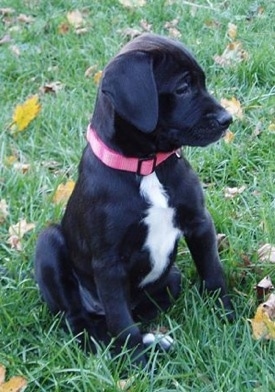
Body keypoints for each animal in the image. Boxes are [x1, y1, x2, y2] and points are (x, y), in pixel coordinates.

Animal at [34, 32, 233, 366]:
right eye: (183, 88)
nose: (227, 118)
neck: (146, 167)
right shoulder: (109, 263)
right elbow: (121, 320)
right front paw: (139, 361)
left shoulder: (199, 222)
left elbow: (213, 273)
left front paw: (229, 317)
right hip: (49, 244)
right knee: (81, 321)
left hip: (172, 277)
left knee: (139, 310)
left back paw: (156, 339)